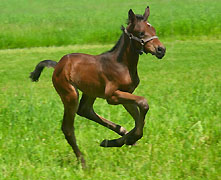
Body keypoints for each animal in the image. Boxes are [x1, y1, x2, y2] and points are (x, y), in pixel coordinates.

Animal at [30, 5, 166, 167]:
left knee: (85, 110)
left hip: (90, 92)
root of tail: (58, 65)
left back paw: (117, 135)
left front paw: (122, 140)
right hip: (70, 94)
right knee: (68, 128)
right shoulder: (112, 96)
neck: (122, 64)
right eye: (141, 33)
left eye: (154, 30)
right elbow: (143, 103)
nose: (161, 49)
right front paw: (128, 139)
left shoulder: (126, 94)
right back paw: (83, 163)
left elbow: (140, 117)